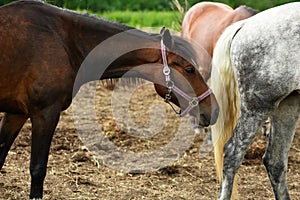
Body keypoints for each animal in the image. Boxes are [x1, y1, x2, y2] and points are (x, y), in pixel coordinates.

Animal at [0, 1, 218, 198]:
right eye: (189, 69)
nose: (214, 109)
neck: (65, 42)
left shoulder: (16, 114)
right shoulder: (45, 114)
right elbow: (37, 169)